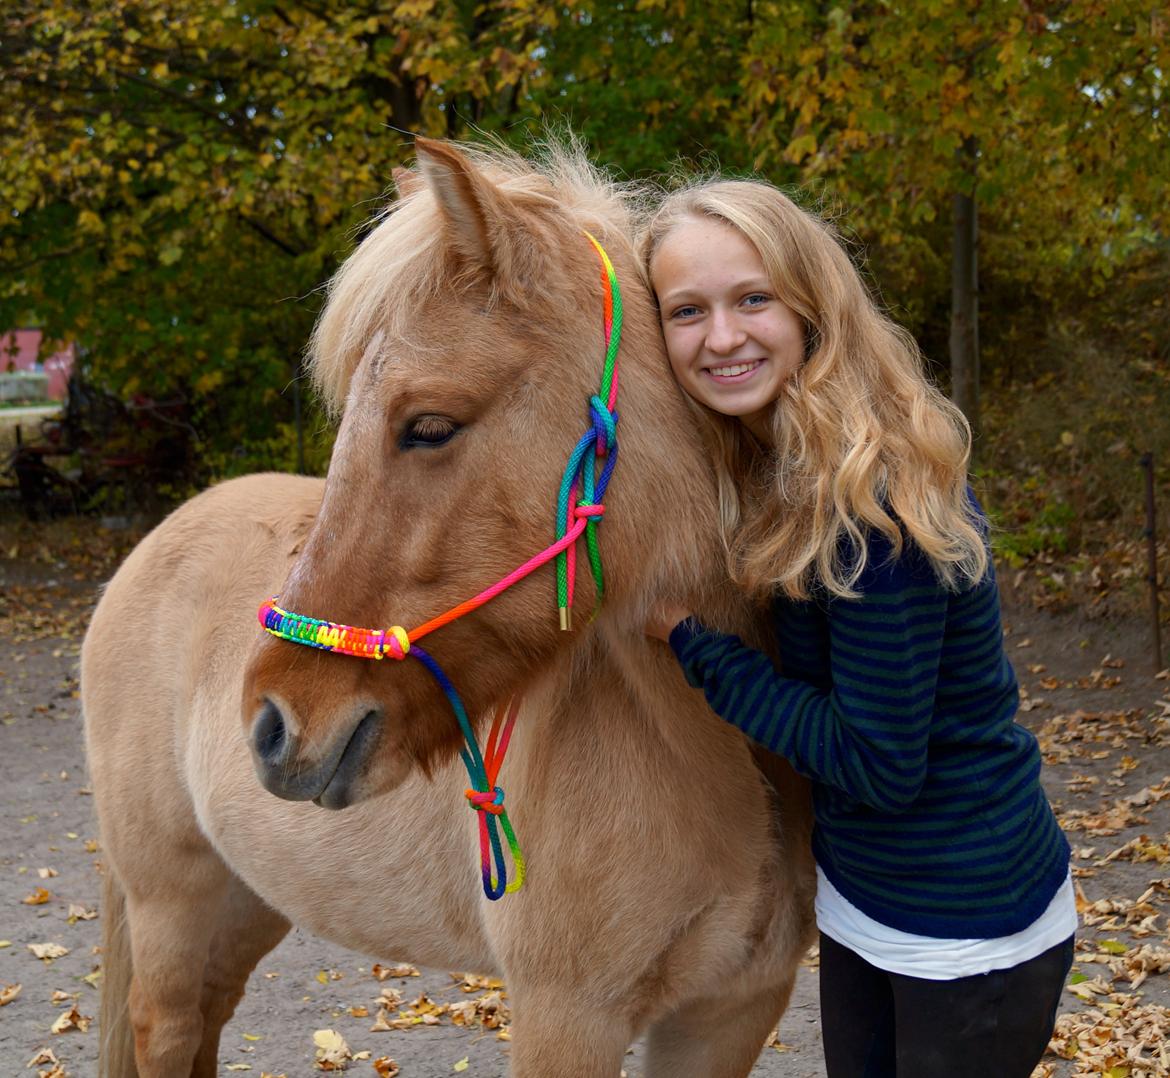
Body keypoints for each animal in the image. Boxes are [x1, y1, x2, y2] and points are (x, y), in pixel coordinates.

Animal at [82, 136, 814, 1076]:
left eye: (427, 426)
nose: (274, 724)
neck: (708, 747)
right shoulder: (565, 1017)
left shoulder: (730, 1012)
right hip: (170, 902)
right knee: (168, 1028)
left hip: (248, 901)